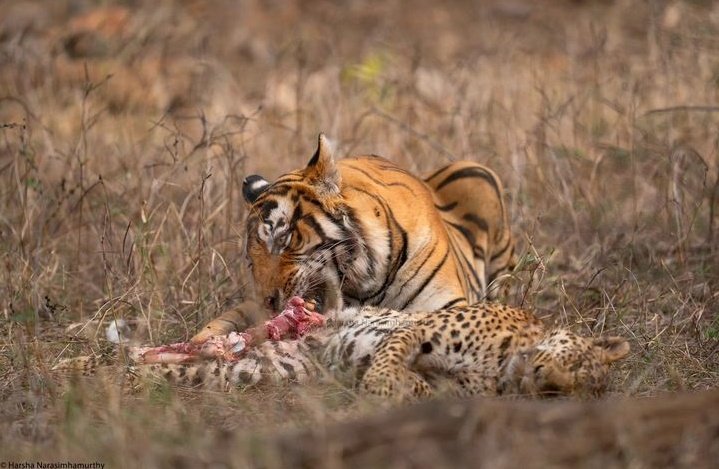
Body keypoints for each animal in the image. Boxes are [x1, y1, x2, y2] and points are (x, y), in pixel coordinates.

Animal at [193, 133, 514, 342]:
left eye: (284, 240)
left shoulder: (449, 307)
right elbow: (221, 322)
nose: (270, 303)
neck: (367, 284)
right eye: (251, 261)